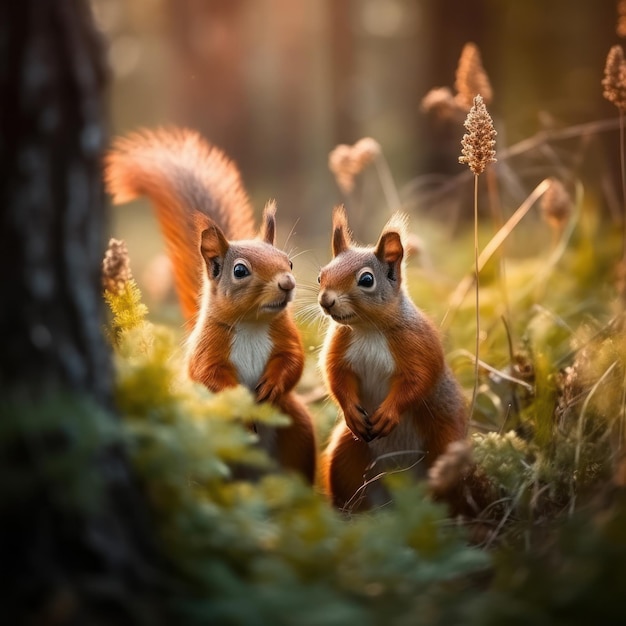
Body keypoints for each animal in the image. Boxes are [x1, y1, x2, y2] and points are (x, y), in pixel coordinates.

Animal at [105, 128, 316, 482]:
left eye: (289, 262)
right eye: (240, 270)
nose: (287, 284)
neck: (251, 324)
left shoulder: (285, 337)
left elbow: (293, 361)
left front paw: (271, 386)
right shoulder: (207, 348)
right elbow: (207, 375)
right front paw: (240, 405)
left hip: (298, 429)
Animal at [316, 207, 464, 510]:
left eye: (367, 280)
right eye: (321, 275)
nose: (326, 301)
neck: (368, 329)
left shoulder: (418, 345)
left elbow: (418, 382)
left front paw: (388, 414)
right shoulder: (339, 349)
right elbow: (335, 377)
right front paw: (351, 411)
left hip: (444, 441)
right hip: (347, 452)